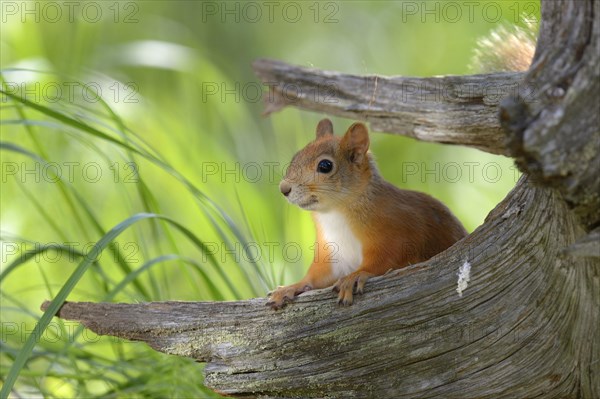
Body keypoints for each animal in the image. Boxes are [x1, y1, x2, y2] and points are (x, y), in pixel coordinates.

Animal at [268, 120, 468, 310]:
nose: (284, 189)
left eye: (325, 166)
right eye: (295, 157)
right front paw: (291, 287)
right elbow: (318, 277)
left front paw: (355, 276)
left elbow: (387, 259)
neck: (334, 213)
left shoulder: (398, 231)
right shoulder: (331, 252)